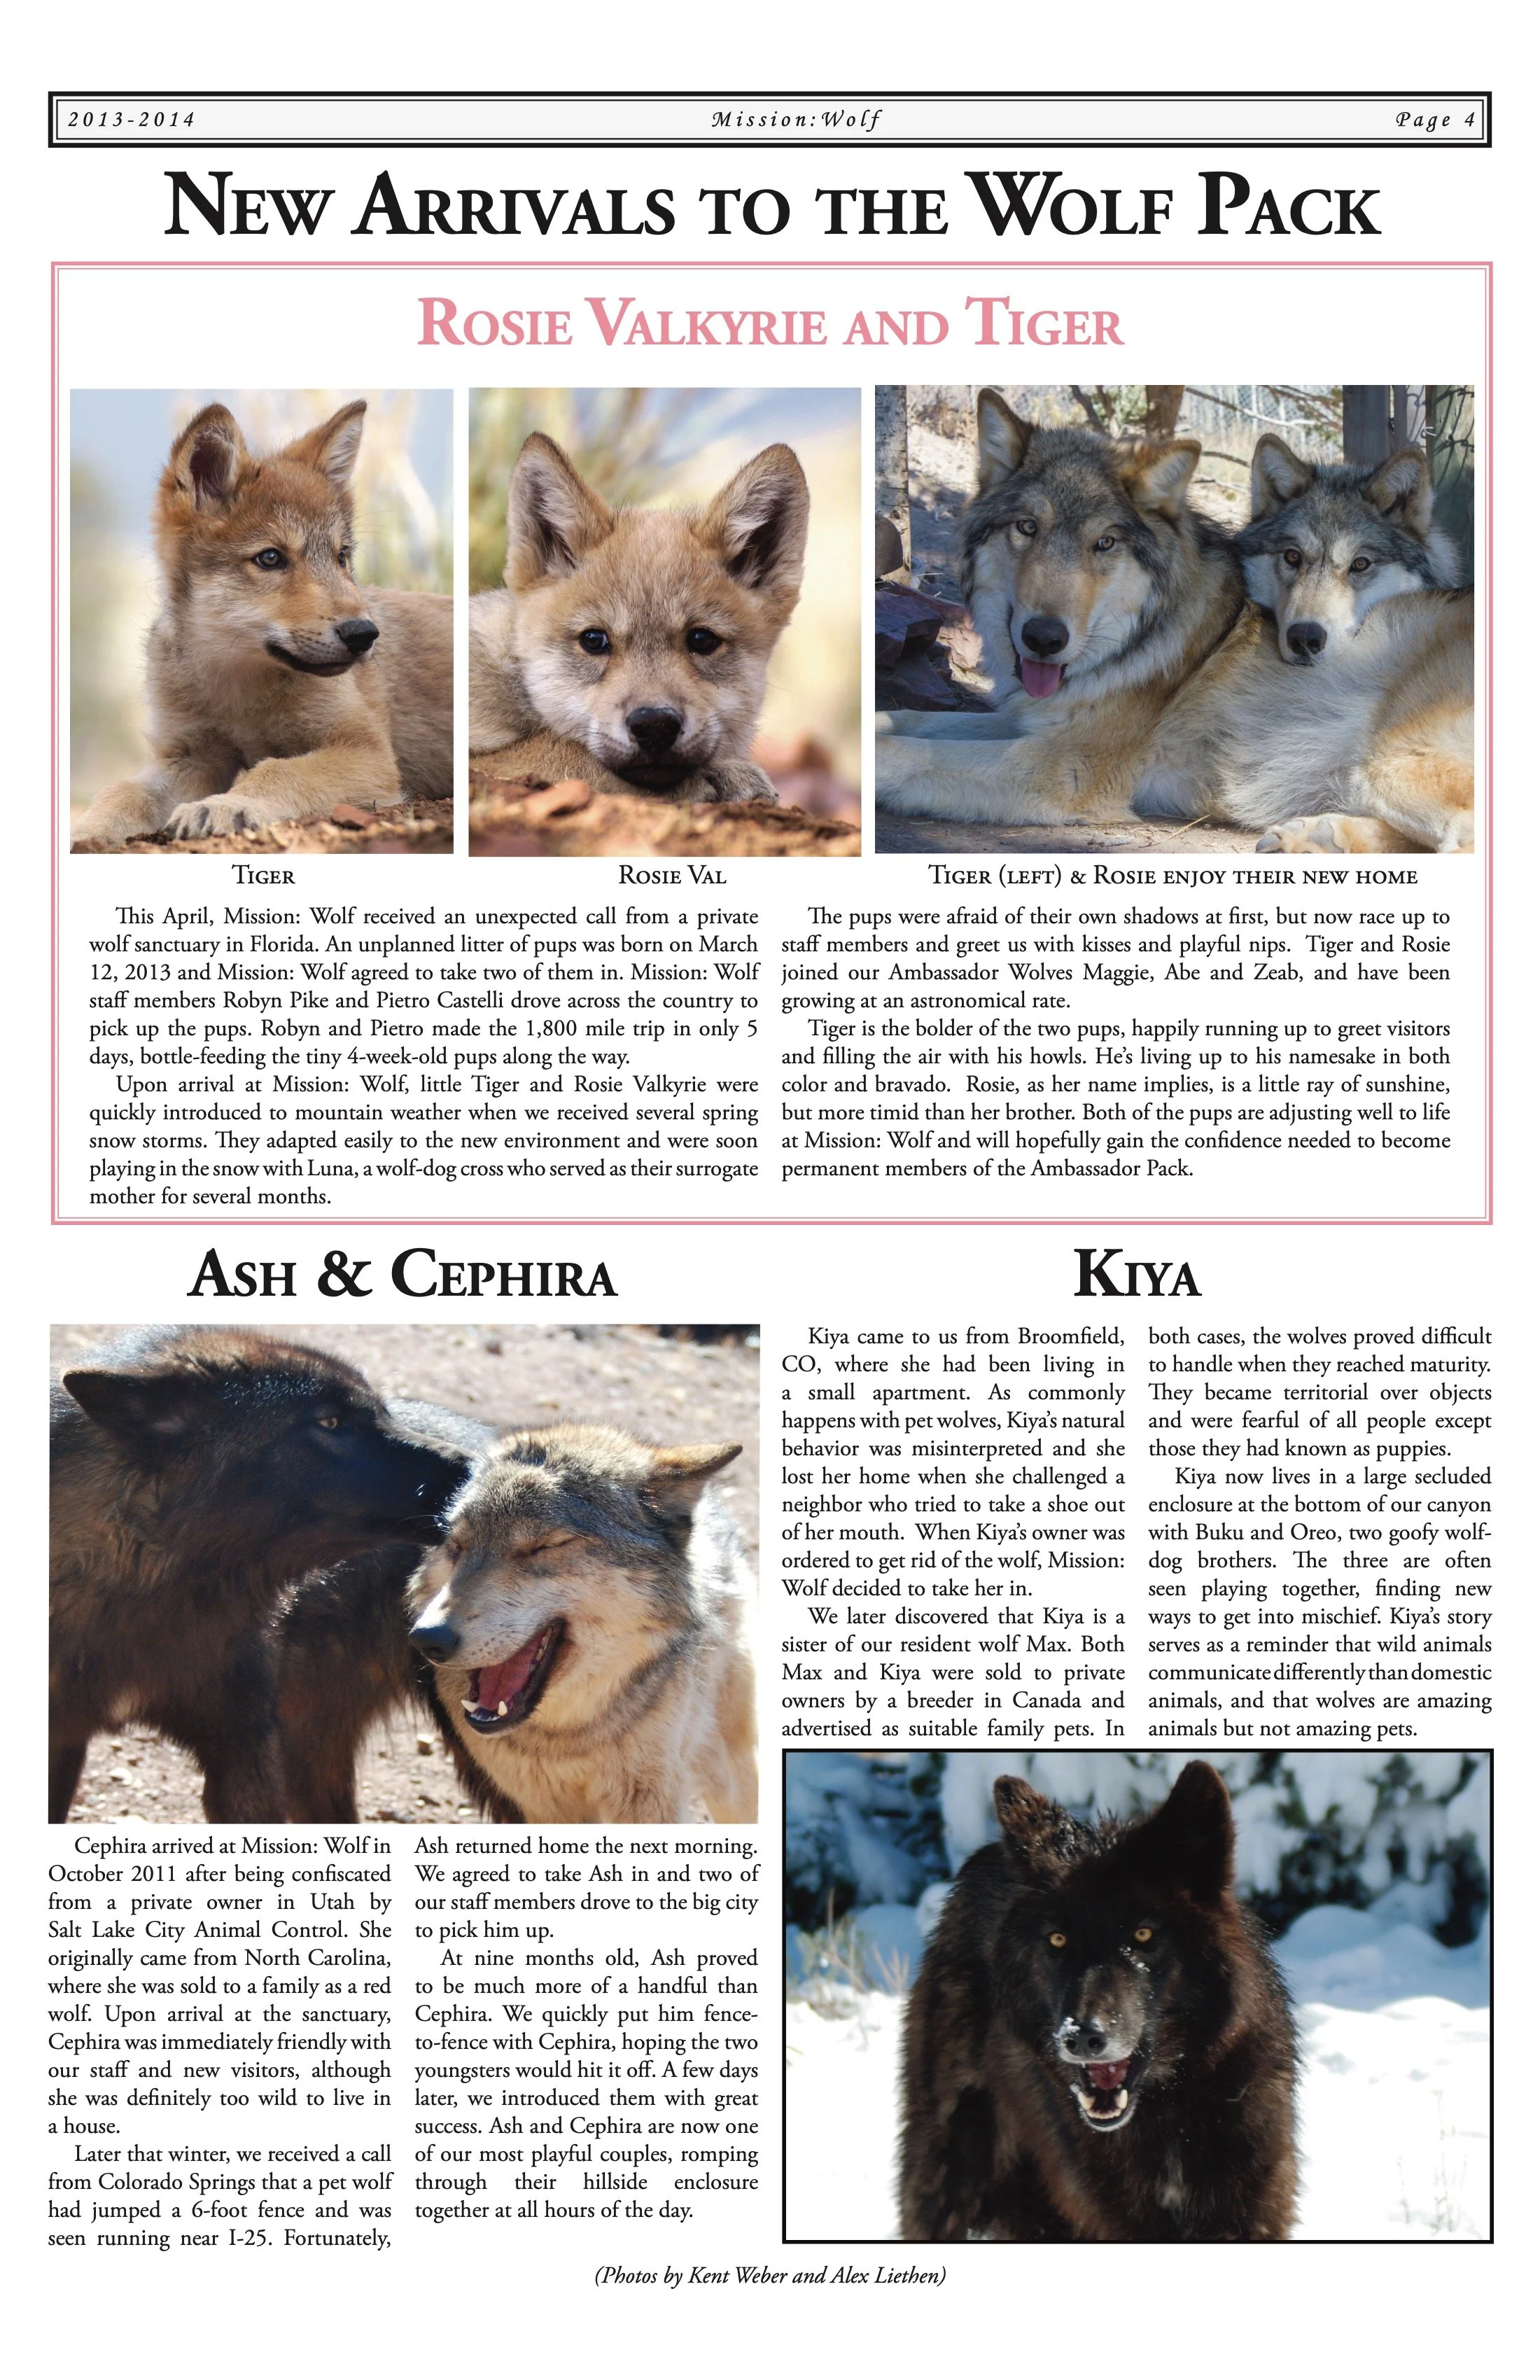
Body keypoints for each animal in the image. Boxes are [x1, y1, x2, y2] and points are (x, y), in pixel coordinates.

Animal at [72, 399, 451, 847]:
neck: (240, 685)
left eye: (341, 557)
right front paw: (88, 830)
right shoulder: (190, 757)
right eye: (270, 558)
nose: (364, 634)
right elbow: (122, 791)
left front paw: (225, 805)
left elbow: (277, 770)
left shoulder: (367, 753)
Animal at [403, 1423, 758, 1822]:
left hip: (731, 1776)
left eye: (543, 1547)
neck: (566, 1738)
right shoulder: (541, 1806)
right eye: (457, 1546)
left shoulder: (651, 1803)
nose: (428, 1638)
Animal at [875, 391, 1244, 830]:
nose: (1044, 639)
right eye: (1028, 527)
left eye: (1104, 543)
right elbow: (914, 718)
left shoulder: (1068, 766)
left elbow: (906, 749)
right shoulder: (1031, 722)